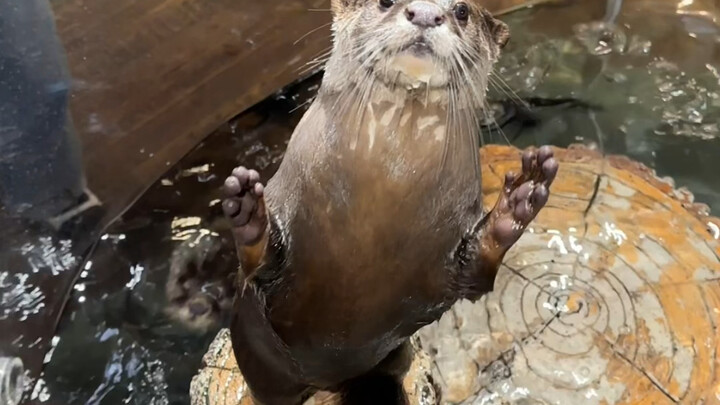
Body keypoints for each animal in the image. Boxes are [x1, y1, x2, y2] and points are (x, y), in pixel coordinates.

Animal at [221, 0, 558, 403]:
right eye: (384, 2)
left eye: (462, 11)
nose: (426, 13)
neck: (389, 175)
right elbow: (258, 265)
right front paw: (248, 213)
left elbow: (478, 276)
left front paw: (519, 201)